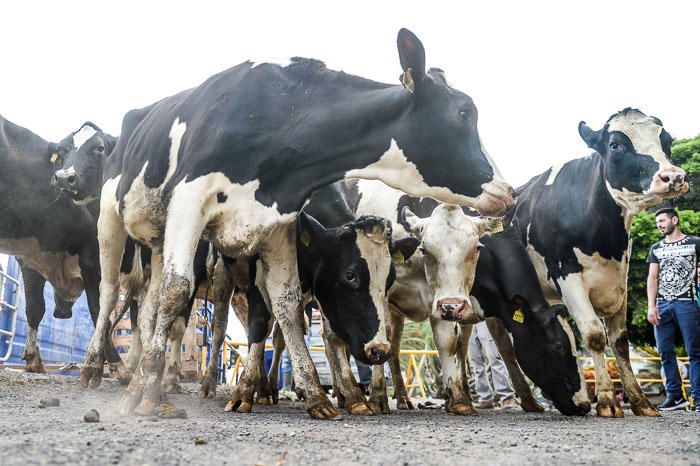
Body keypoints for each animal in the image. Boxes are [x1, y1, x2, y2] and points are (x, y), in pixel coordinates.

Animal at [0, 116, 127, 378]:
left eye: (99, 148)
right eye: (62, 149)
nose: (63, 177)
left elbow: (37, 309)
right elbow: (96, 310)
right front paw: (117, 365)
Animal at [79, 31, 516, 420]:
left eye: (389, 279)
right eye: (464, 113)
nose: (508, 191)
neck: (279, 114)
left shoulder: (278, 224)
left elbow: (287, 306)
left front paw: (316, 395)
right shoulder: (190, 200)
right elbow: (179, 291)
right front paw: (149, 397)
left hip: (157, 240)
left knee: (150, 304)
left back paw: (139, 375)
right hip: (110, 221)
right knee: (112, 291)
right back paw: (100, 370)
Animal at [336, 180, 588, 416]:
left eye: (477, 247)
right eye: (558, 346)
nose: (584, 404)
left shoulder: (477, 306)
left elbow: (487, 347)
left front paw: (522, 400)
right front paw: (379, 397)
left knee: (396, 345)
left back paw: (399, 398)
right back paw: (351, 396)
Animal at [516, 109, 688, 418]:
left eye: (666, 139)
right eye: (615, 145)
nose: (674, 176)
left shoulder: (620, 278)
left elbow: (619, 341)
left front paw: (640, 401)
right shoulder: (567, 276)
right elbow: (595, 334)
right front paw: (607, 400)